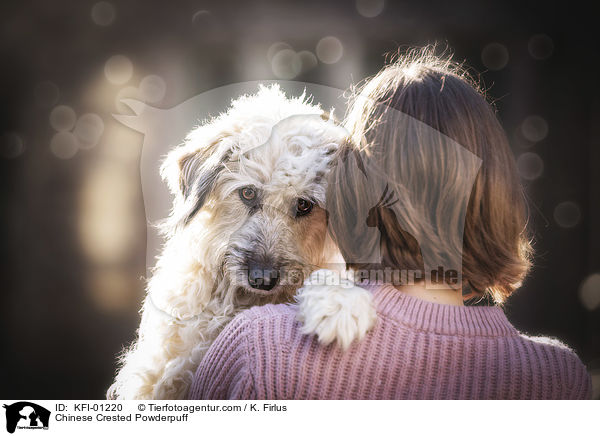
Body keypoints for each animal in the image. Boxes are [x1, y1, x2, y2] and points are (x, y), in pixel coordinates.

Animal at [108, 86, 376, 402]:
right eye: (248, 193)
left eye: (304, 204)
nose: (263, 279)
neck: (240, 300)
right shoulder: (161, 369)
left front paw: (339, 304)